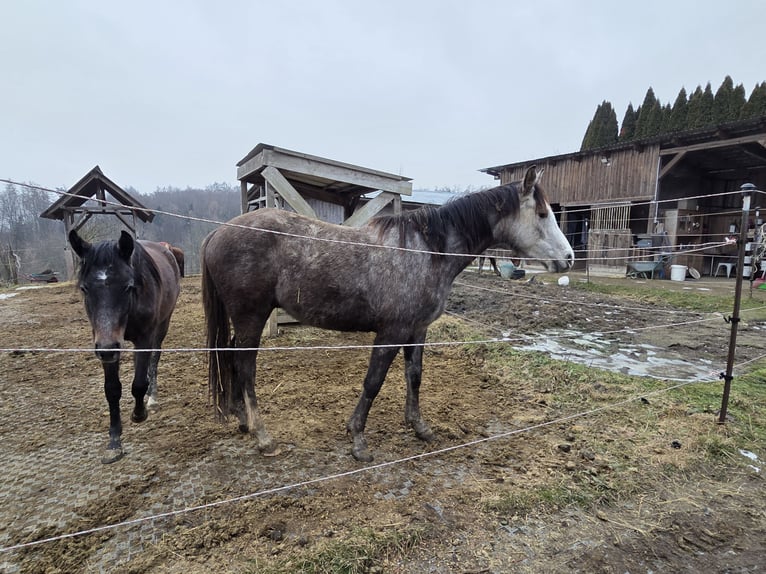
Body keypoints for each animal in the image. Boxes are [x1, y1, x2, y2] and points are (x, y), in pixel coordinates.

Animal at [69, 229, 181, 463]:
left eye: (128, 287)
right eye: (84, 289)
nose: (107, 348)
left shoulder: (143, 339)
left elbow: (138, 383)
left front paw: (139, 413)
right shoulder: (107, 344)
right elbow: (112, 389)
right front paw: (114, 441)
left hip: (162, 326)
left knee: (154, 360)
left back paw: (152, 398)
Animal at [201, 166, 573, 462]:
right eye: (542, 214)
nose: (568, 258)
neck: (425, 251)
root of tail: (218, 232)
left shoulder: (417, 330)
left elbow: (415, 376)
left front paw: (420, 427)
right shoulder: (391, 332)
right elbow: (374, 381)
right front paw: (358, 439)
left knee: (230, 356)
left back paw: (242, 420)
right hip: (251, 317)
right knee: (245, 367)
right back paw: (263, 436)